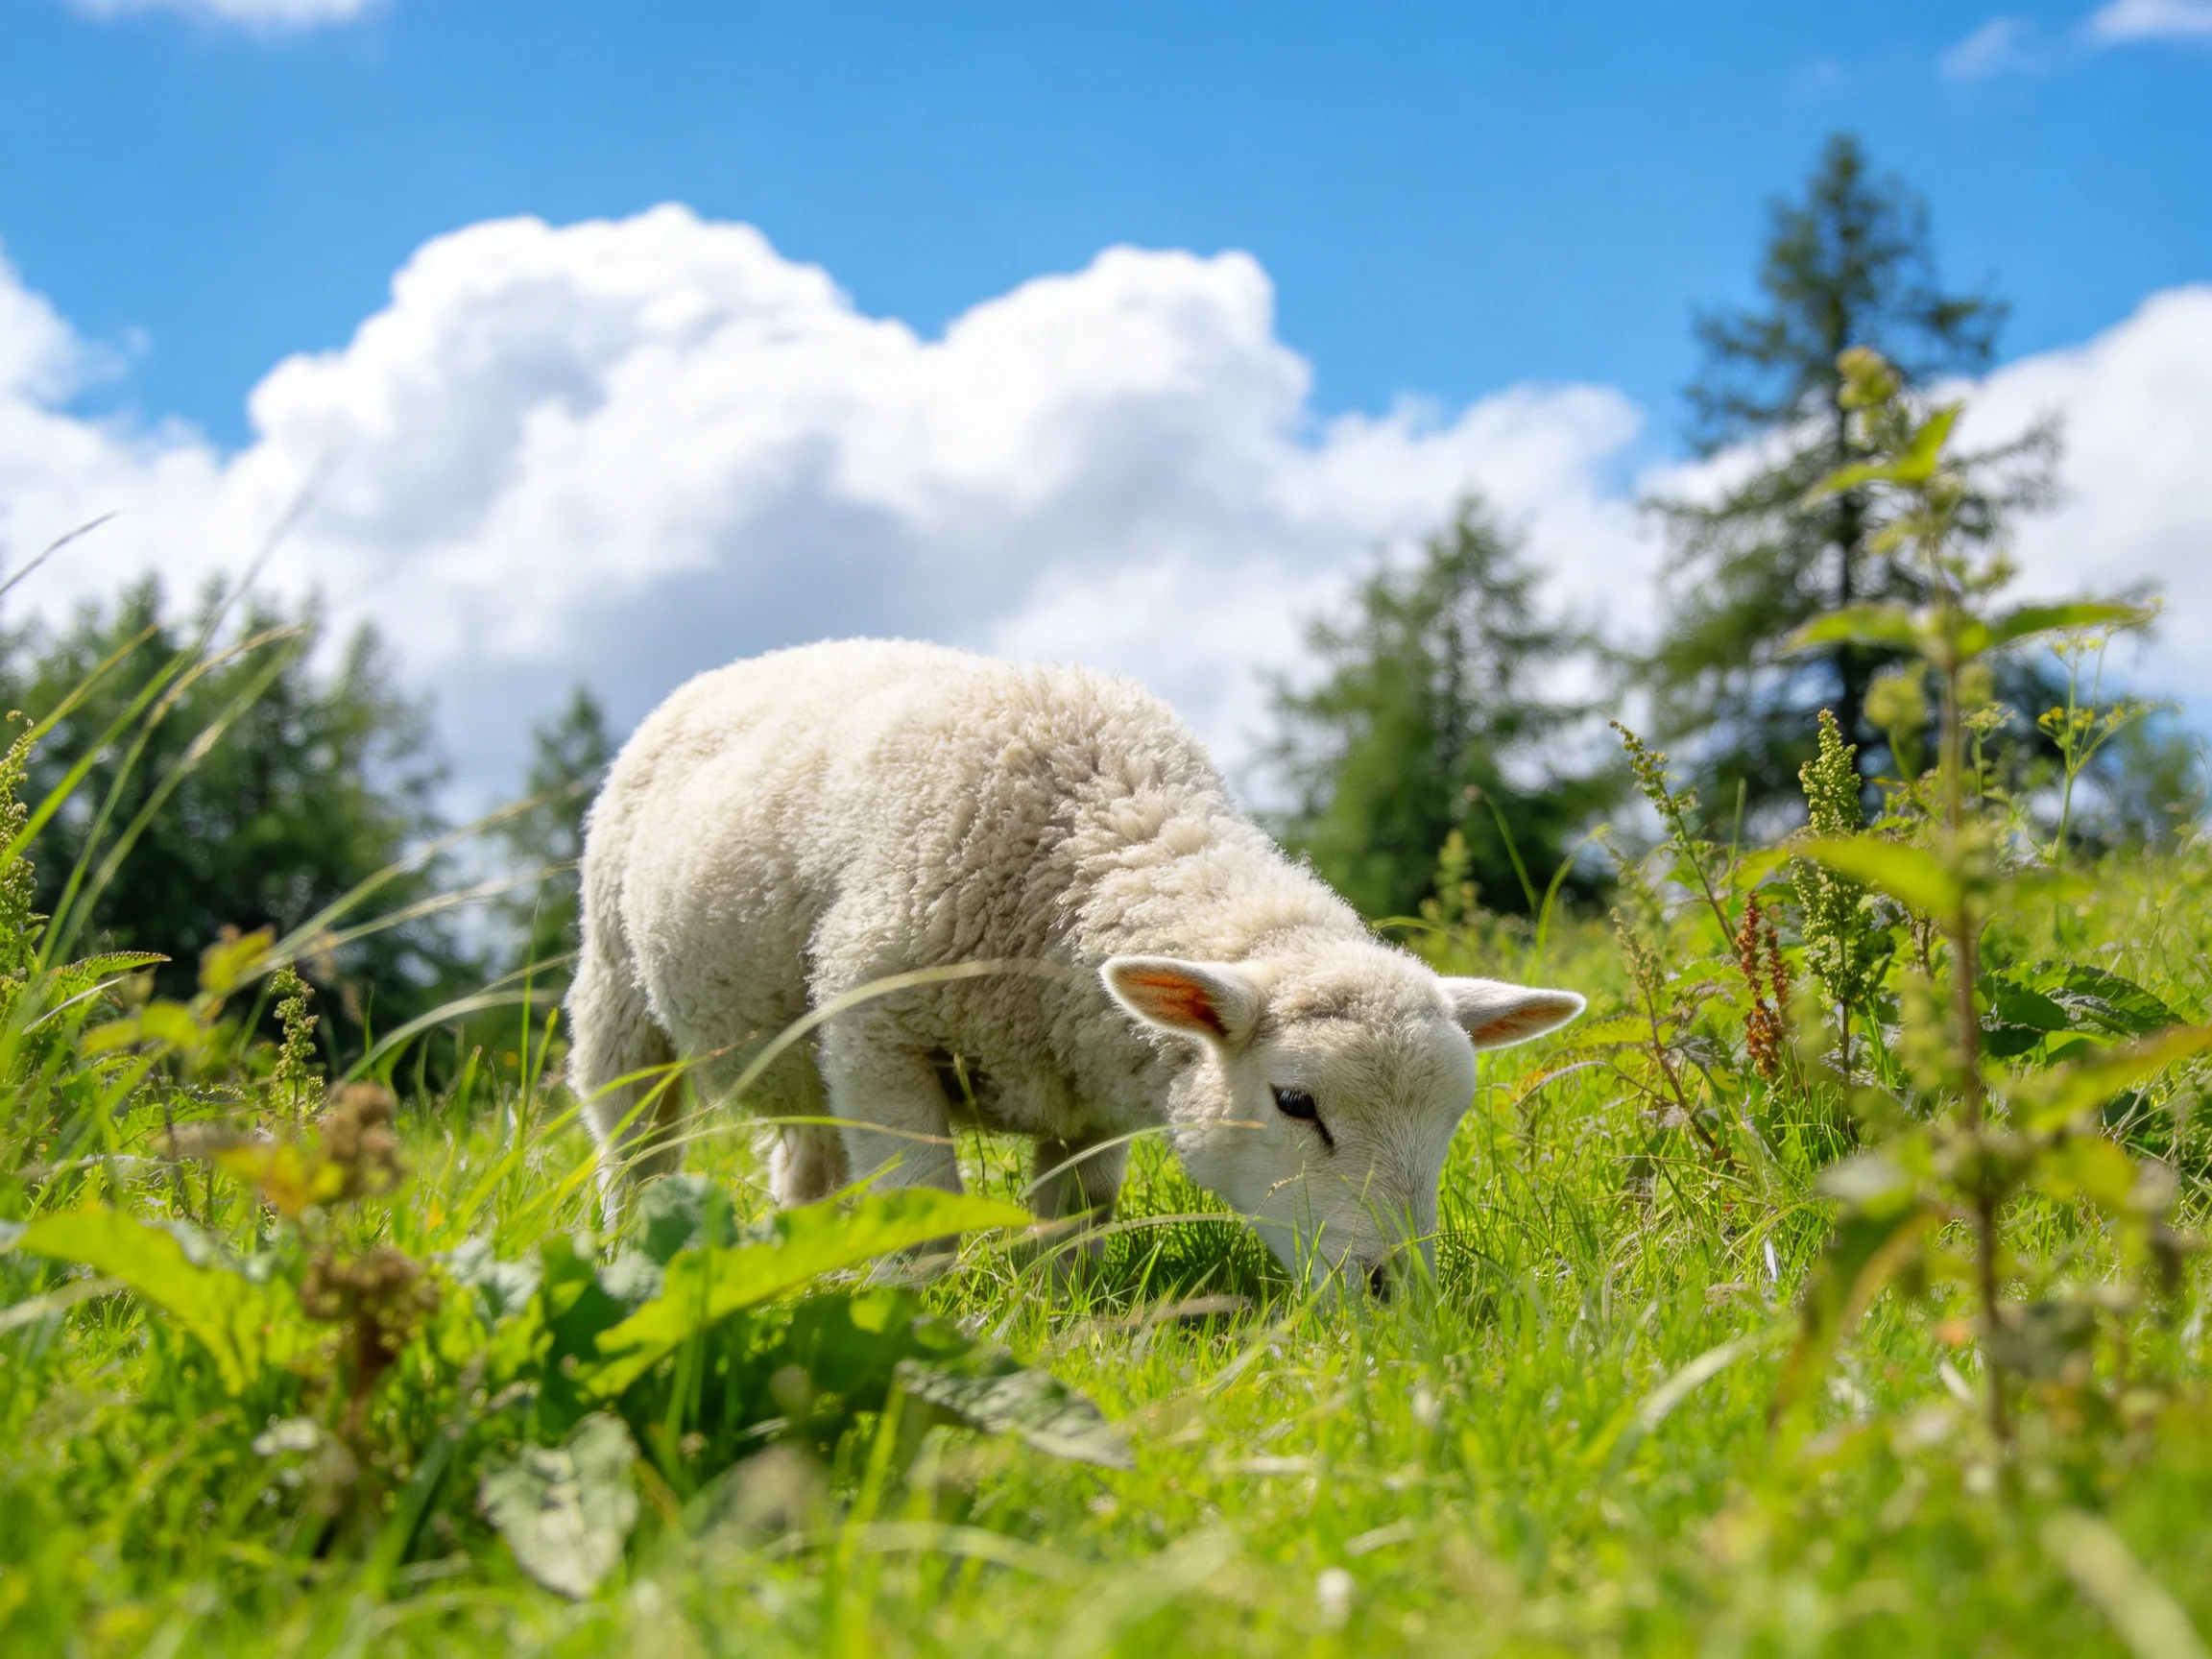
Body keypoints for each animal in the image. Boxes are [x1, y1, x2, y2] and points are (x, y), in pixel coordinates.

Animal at [567, 639, 1585, 1294]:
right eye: (1296, 1102)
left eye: (1451, 1119)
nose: (1395, 1293)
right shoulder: (876, 1032)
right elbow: (921, 1207)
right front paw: (920, 1321)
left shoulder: (1087, 1086)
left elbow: (1077, 1222)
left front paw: (1069, 1317)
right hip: (620, 993)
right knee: (635, 1146)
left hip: (797, 1054)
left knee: (804, 1165)